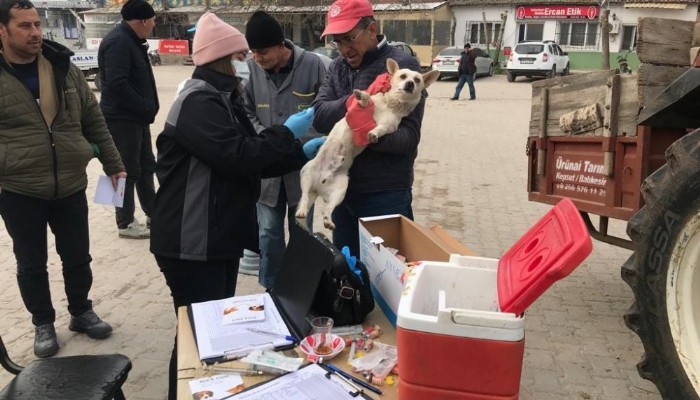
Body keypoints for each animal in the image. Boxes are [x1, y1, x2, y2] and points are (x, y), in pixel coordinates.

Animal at [298, 57, 440, 230]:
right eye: (403, 76)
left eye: (417, 80)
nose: (410, 84)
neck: (392, 103)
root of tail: (318, 187)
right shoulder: (369, 104)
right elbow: (368, 98)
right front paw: (362, 95)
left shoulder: (389, 126)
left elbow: (380, 129)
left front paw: (373, 134)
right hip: (307, 172)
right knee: (304, 197)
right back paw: (302, 210)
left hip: (340, 190)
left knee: (327, 208)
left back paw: (328, 220)